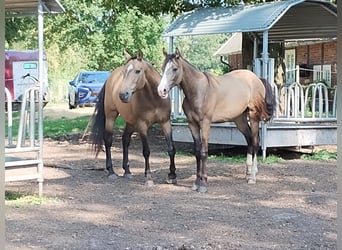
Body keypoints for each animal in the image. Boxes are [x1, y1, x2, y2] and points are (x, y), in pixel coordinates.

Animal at [90, 49, 176, 186]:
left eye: (137, 71)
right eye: (124, 72)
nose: (123, 95)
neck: (154, 99)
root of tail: (110, 78)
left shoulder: (165, 122)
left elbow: (171, 149)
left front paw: (172, 176)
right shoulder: (142, 125)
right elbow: (146, 151)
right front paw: (148, 177)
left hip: (130, 121)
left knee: (125, 140)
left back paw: (127, 171)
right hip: (111, 116)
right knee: (108, 140)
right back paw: (111, 171)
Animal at [158, 48, 276, 193]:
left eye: (174, 68)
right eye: (163, 67)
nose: (161, 90)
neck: (199, 91)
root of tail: (256, 79)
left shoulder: (205, 123)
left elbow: (204, 152)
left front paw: (203, 184)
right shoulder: (193, 124)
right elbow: (197, 151)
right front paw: (196, 182)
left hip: (253, 117)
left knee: (255, 142)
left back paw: (252, 177)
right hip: (240, 119)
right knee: (249, 140)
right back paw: (248, 173)